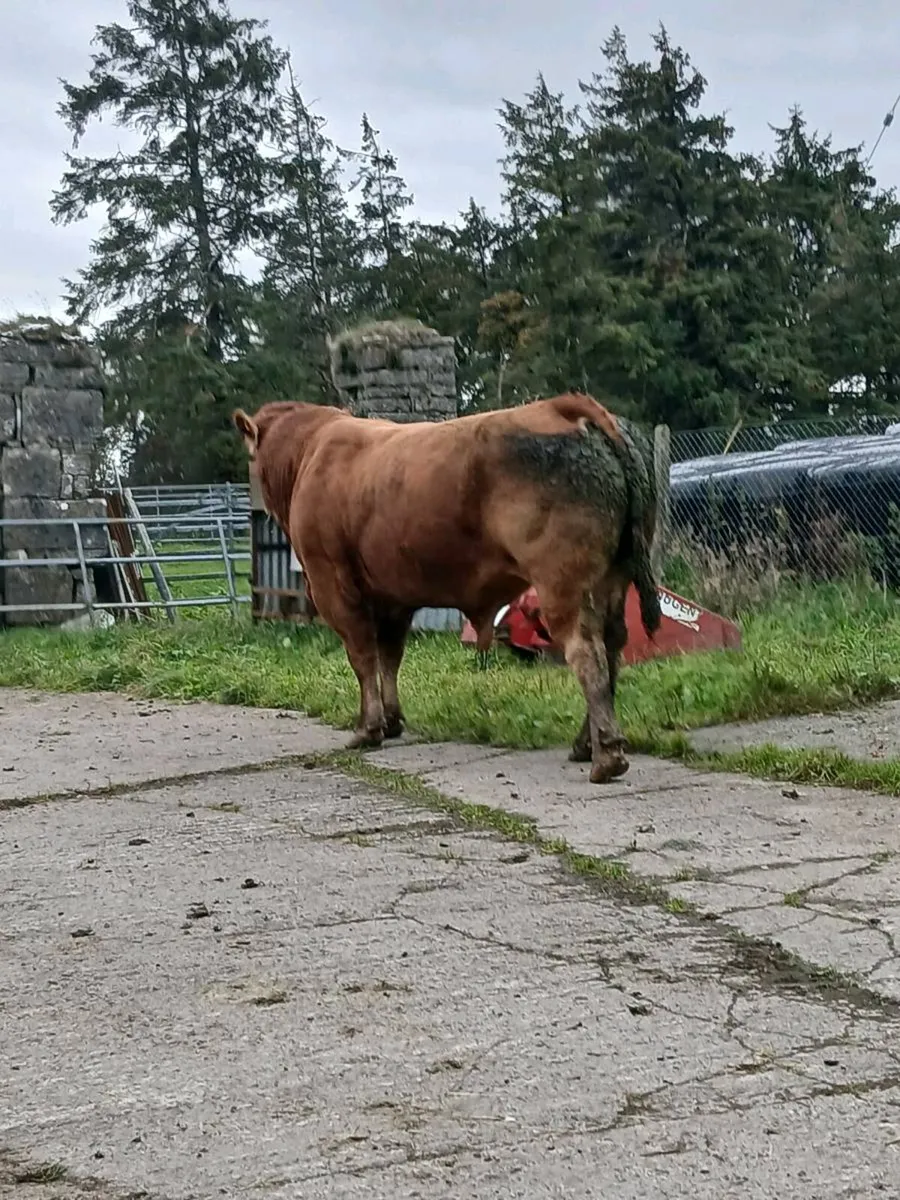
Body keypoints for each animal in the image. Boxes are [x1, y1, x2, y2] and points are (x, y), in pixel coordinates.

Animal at [233, 393, 661, 783]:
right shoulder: (393, 596)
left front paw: (368, 728)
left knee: (588, 654)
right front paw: (392, 721)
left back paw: (606, 756)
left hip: (562, 583)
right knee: (612, 647)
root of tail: (561, 405)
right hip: (612, 578)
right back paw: (585, 744)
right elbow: (390, 655)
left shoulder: (333, 585)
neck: (312, 450)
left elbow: (363, 656)